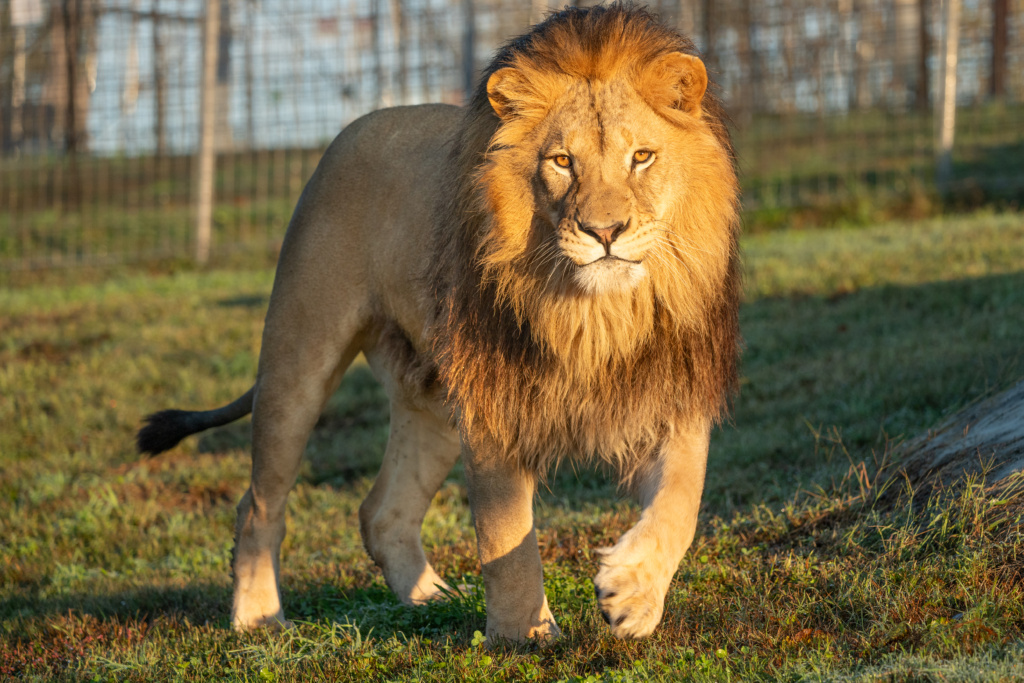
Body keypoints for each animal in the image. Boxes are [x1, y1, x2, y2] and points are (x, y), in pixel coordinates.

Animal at [137, 4, 740, 642]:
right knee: (258, 504)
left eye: (642, 157)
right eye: (562, 162)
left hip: (433, 401)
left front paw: (633, 595)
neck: (597, 314)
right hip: (297, 363)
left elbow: (681, 504)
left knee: (381, 512)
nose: (605, 232)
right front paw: (526, 638)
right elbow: (507, 536)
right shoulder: (495, 402)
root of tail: (356, 128)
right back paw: (258, 617)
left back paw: (429, 599)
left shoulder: (673, 390)